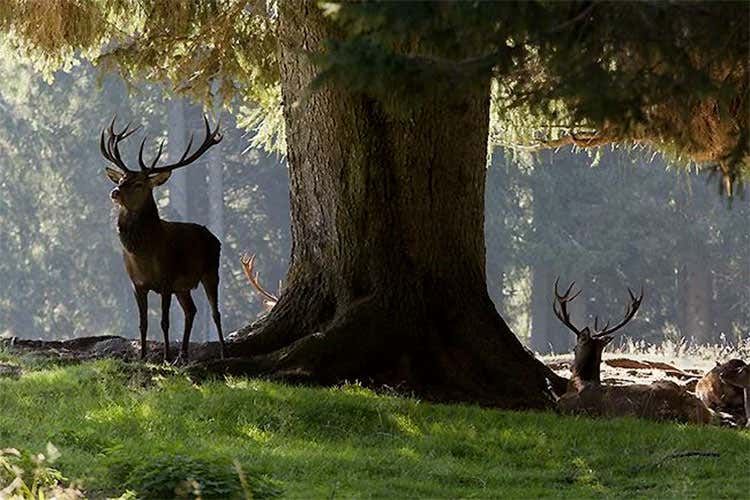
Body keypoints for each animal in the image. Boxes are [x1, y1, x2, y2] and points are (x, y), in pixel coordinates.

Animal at [101, 115, 226, 362]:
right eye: (121, 179)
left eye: (139, 183)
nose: (115, 191)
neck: (143, 254)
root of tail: (213, 236)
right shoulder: (137, 284)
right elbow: (143, 323)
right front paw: (143, 357)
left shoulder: (167, 280)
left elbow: (165, 322)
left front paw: (166, 357)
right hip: (183, 286)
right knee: (191, 310)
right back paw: (183, 355)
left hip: (210, 271)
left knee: (215, 312)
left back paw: (223, 352)